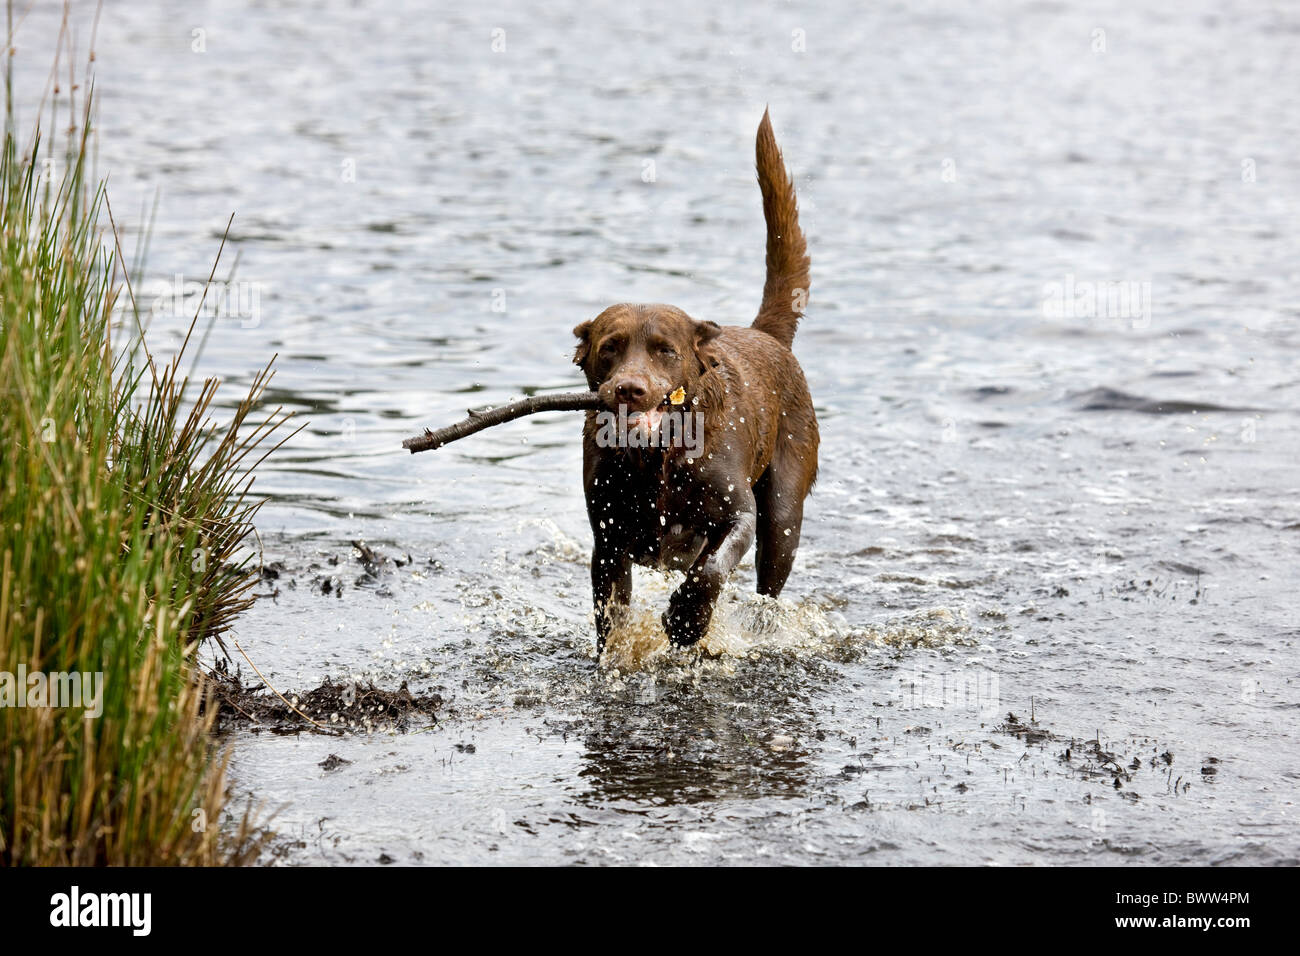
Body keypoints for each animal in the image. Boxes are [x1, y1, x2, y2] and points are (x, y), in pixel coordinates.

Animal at [574, 108, 816, 655]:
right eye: (609, 348)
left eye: (666, 350)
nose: (630, 388)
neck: (657, 461)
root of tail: (764, 333)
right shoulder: (608, 540)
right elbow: (610, 614)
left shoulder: (738, 514)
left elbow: (711, 570)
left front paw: (687, 620)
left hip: (784, 512)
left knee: (769, 578)